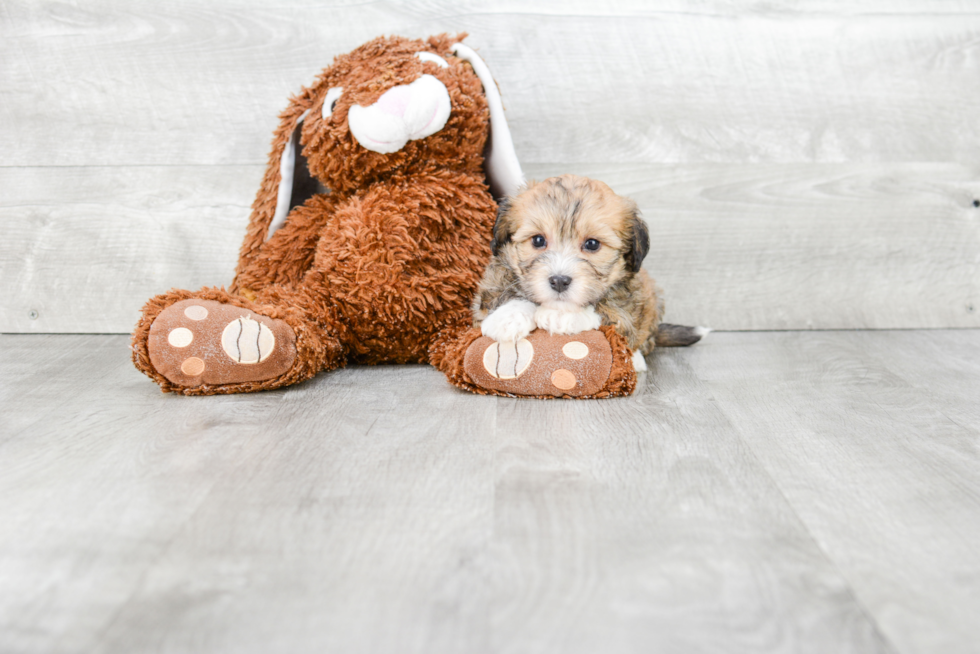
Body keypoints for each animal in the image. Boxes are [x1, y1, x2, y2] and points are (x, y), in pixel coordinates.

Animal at [468, 174, 704, 372]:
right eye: (538, 240)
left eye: (592, 244)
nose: (559, 281)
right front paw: (508, 316)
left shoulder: (627, 306)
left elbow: (607, 310)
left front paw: (561, 315)